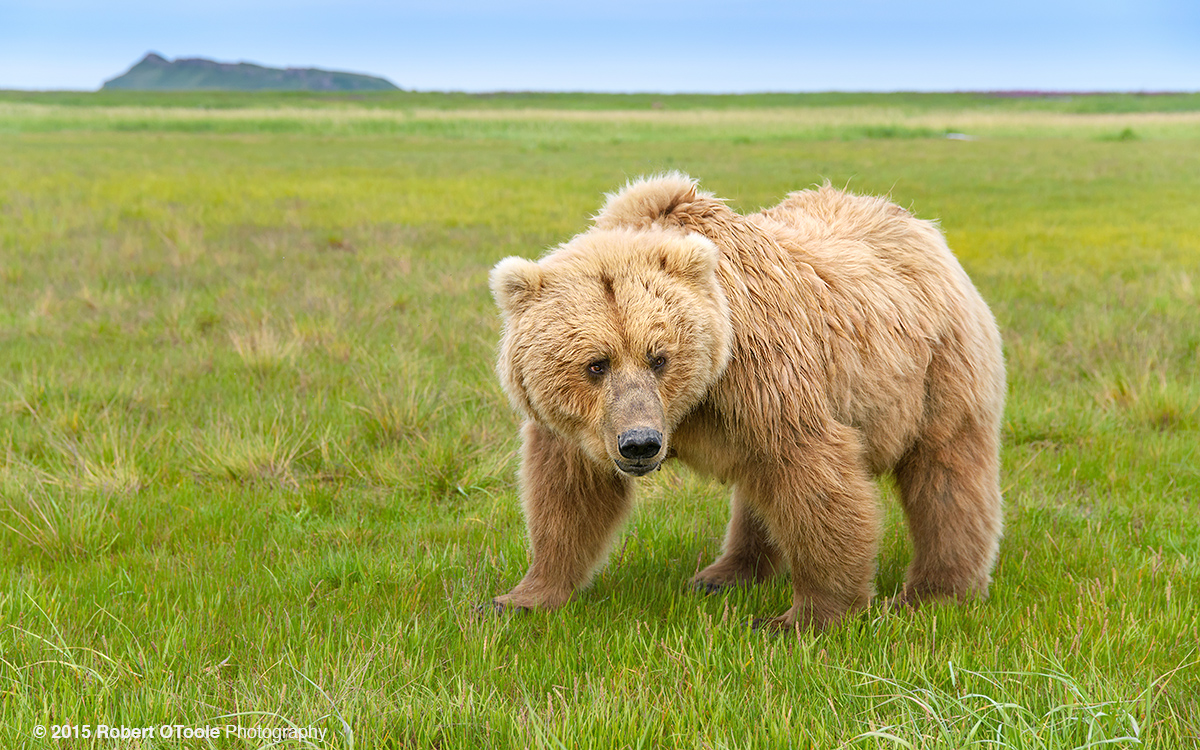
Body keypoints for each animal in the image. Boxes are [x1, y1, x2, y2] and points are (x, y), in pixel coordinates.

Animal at [484, 172, 1003, 628]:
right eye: (596, 363)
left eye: (659, 357)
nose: (641, 444)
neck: (693, 404)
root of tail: (920, 226)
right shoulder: (586, 427)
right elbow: (568, 494)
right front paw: (519, 598)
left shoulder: (761, 370)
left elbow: (813, 471)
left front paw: (804, 618)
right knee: (758, 487)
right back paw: (724, 574)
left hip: (937, 368)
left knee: (947, 475)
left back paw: (935, 593)